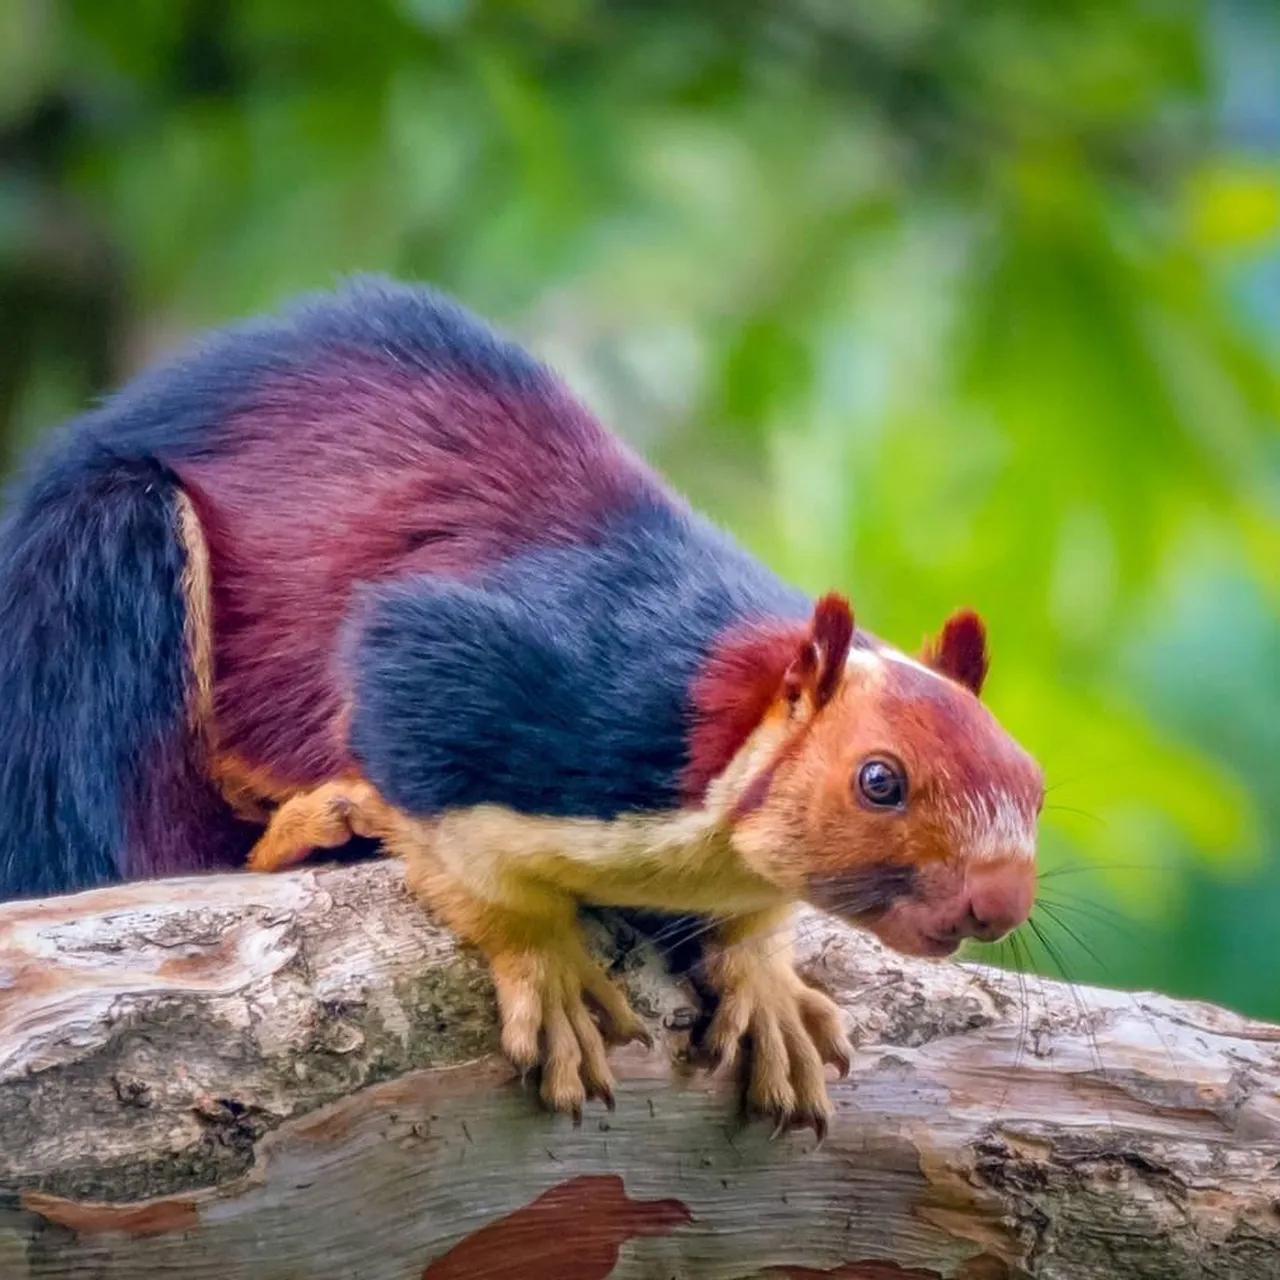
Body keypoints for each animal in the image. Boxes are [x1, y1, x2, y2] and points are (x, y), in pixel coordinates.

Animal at [0, 276, 1043, 1134]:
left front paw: (767, 978)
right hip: (99, 581)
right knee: (121, 851)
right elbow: (449, 813)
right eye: (879, 780)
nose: (1000, 899)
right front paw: (545, 963)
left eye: (1033, 782)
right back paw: (311, 830)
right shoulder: (507, 680)